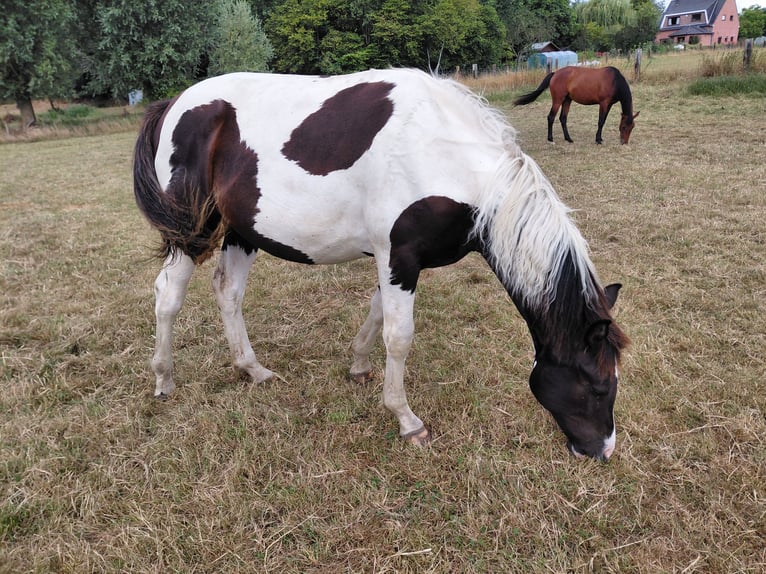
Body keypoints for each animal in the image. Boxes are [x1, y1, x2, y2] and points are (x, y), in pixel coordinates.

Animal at [133, 69, 629, 461]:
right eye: (599, 386)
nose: (602, 451)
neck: (442, 153)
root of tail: (175, 103)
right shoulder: (400, 258)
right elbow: (399, 337)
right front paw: (407, 419)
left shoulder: (394, 261)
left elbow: (376, 317)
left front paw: (357, 367)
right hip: (191, 230)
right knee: (167, 296)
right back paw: (164, 379)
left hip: (243, 230)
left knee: (228, 291)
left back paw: (252, 370)